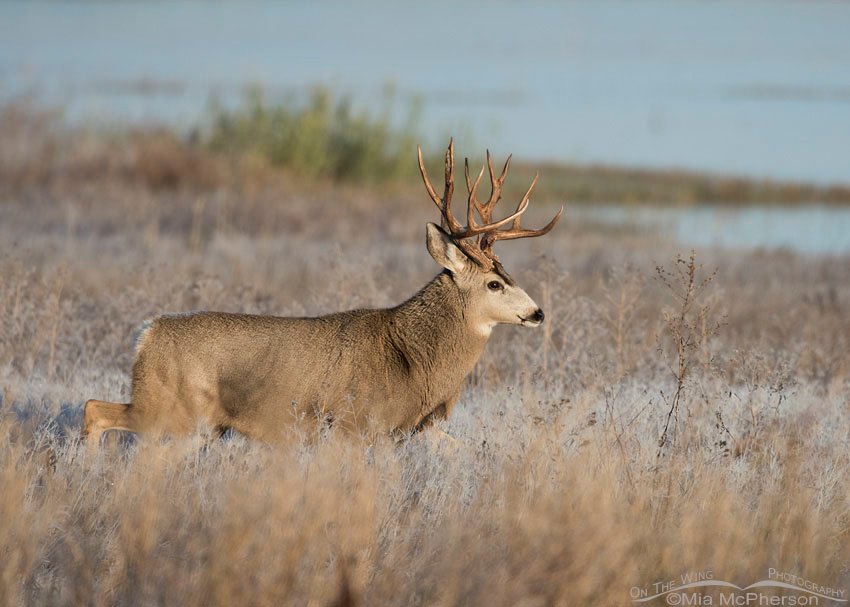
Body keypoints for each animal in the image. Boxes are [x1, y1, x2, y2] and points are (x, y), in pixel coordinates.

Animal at [82, 140, 563, 446]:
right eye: (494, 283)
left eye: (508, 273)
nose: (538, 313)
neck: (410, 358)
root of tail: (147, 333)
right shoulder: (353, 424)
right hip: (169, 407)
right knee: (94, 409)